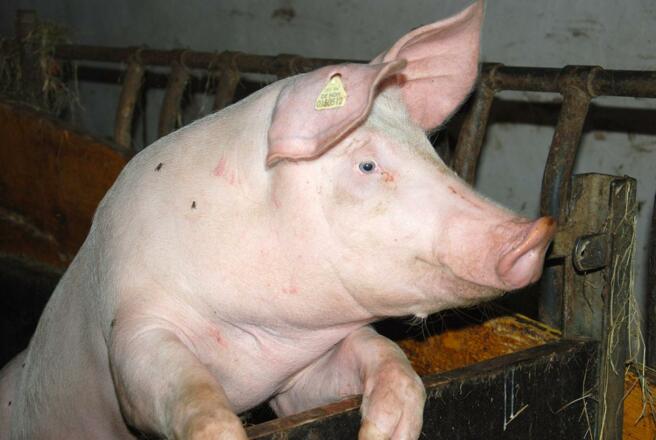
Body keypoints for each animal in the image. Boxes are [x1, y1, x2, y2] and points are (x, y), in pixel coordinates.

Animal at [0, 1, 556, 439]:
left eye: (431, 149)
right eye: (367, 165)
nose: (534, 233)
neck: (253, 342)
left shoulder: (299, 375)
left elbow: (390, 362)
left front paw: (384, 432)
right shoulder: (132, 327)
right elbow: (198, 405)